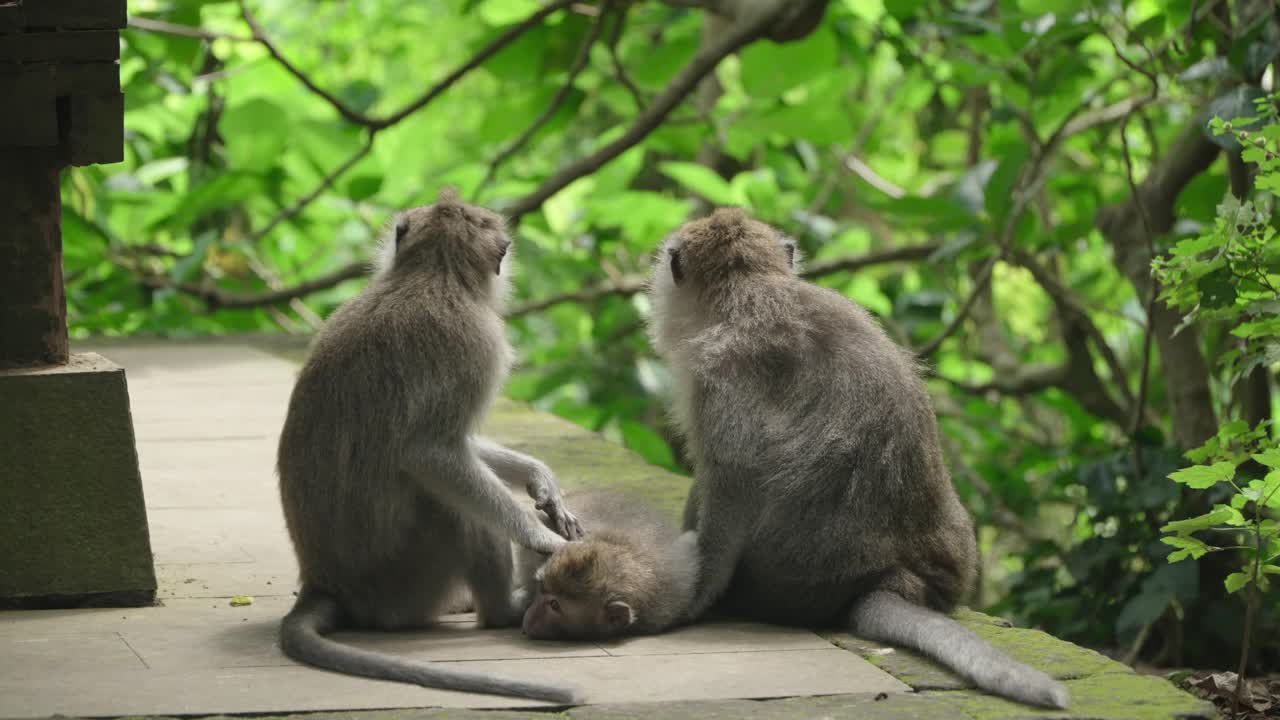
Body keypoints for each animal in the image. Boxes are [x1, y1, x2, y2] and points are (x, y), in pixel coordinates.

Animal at [275, 189, 584, 704]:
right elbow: (432, 453)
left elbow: (453, 447)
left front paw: (540, 479)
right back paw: (503, 608)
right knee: (454, 507)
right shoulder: (480, 344)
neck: (432, 274)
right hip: (402, 581)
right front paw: (542, 538)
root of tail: (322, 583)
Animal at [644, 208, 1070, 710]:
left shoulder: (717, 380)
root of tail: (890, 578)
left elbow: (732, 484)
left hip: (776, 587)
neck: (749, 289)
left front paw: (691, 601)